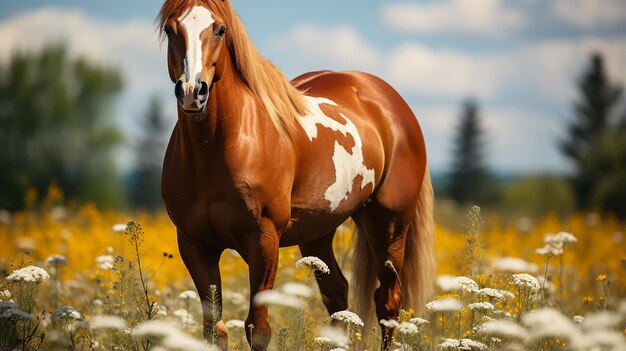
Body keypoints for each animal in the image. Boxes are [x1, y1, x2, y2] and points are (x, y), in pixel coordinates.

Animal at [158, 1, 434, 350]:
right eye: (170, 29)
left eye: (220, 29)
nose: (192, 91)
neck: (217, 149)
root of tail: (392, 103)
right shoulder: (194, 244)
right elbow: (215, 330)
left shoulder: (263, 241)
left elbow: (257, 328)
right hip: (318, 233)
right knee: (338, 295)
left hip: (390, 227)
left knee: (388, 302)